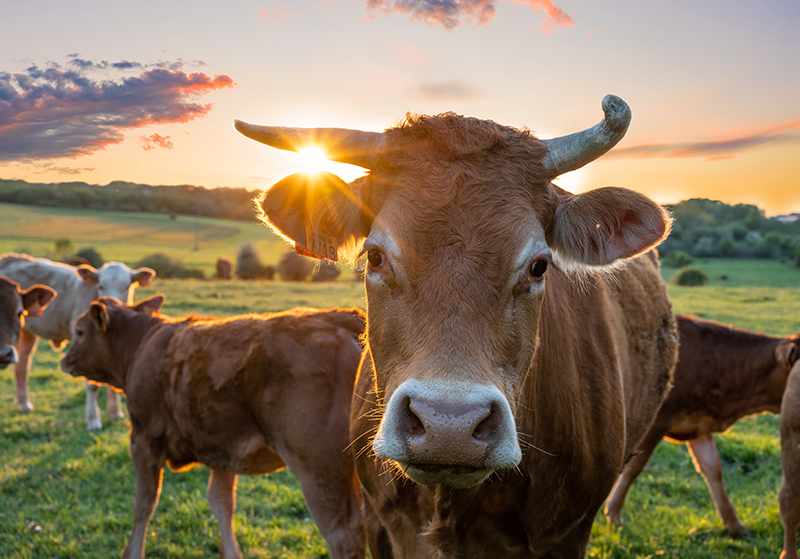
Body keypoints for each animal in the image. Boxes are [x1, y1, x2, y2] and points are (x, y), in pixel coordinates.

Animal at [0, 254, 155, 434]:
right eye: (101, 285)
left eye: (128, 286)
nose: (113, 304)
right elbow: (92, 386)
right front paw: (93, 420)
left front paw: (115, 413)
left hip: (27, 332)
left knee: (22, 366)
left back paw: (24, 404)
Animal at [61, 298, 368, 559]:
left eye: (79, 331)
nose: (65, 360)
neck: (142, 345)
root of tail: (339, 318)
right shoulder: (222, 448)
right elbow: (222, 504)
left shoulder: (143, 439)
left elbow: (143, 504)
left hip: (319, 469)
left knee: (344, 538)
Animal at [608, 316, 800, 540]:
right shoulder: (656, 423)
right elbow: (633, 468)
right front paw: (613, 513)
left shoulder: (699, 426)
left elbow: (713, 470)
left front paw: (734, 525)